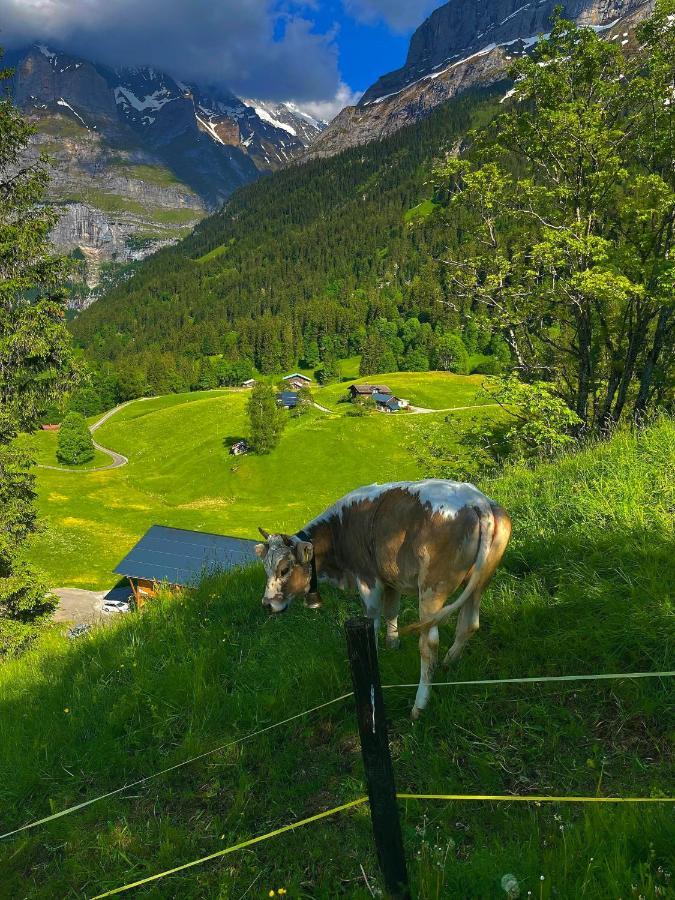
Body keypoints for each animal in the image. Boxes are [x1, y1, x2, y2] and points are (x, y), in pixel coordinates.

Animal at [256, 478, 510, 716]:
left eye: (284, 569)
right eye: (266, 568)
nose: (267, 605)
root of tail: (475, 499)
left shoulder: (369, 580)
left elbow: (373, 619)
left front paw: (373, 657)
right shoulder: (390, 579)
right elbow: (391, 611)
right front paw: (393, 643)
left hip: (432, 589)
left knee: (429, 643)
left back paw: (420, 704)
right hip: (479, 582)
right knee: (469, 624)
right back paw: (449, 664)